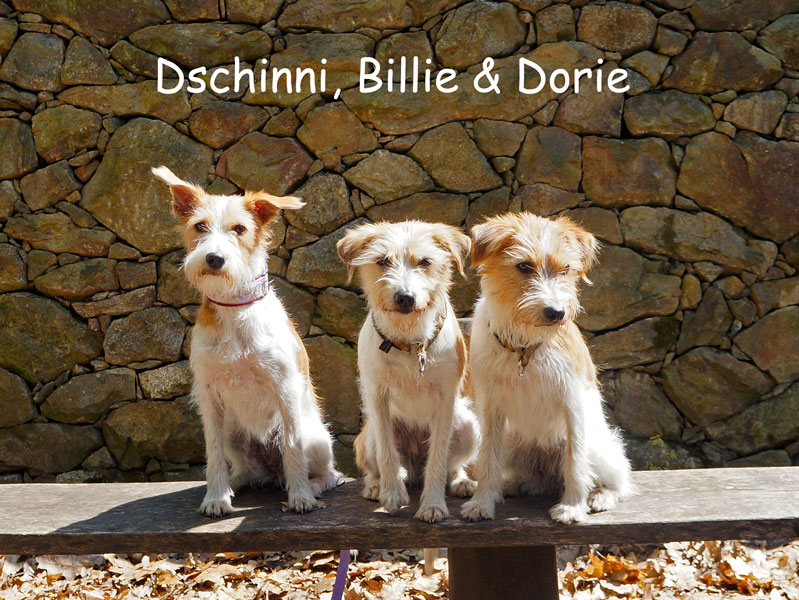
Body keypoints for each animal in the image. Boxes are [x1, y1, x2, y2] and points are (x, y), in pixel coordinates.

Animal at [153, 166, 339, 517]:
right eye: (199, 226)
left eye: (239, 229)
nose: (214, 258)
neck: (234, 309)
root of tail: (273, 474)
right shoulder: (209, 395)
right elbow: (212, 454)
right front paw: (215, 497)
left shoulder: (285, 387)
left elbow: (293, 448)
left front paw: (300, 497)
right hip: (233, 436)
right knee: (246, 472)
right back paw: (234, 484)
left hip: (315, 437)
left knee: (329, 473)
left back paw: (312, 487)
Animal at [337, 221, 479, 522]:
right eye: (382, 261)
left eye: (425, 262)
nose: (404, 297)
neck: (409, 341)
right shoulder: (378, 398)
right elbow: (387, 454)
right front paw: (392, 495)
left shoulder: (445, 401)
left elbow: (438, 460)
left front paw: (433, 505)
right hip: (369, 435)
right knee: (375, 465)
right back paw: (376, 486)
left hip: (467, 426)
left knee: (450, 465)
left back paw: (460, 481)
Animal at [460, 212, 632, 524]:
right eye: (523, 266)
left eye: (566, 269)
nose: (556, 313)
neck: (525, 347)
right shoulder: (490, 408)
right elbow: (487, 460)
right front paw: (482, 503)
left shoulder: (572, 404)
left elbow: (576, 463)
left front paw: (573, 507)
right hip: (512, 444)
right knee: (530, 477)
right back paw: (514, 485)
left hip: (599, 447)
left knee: (618, 481)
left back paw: (600, 496)